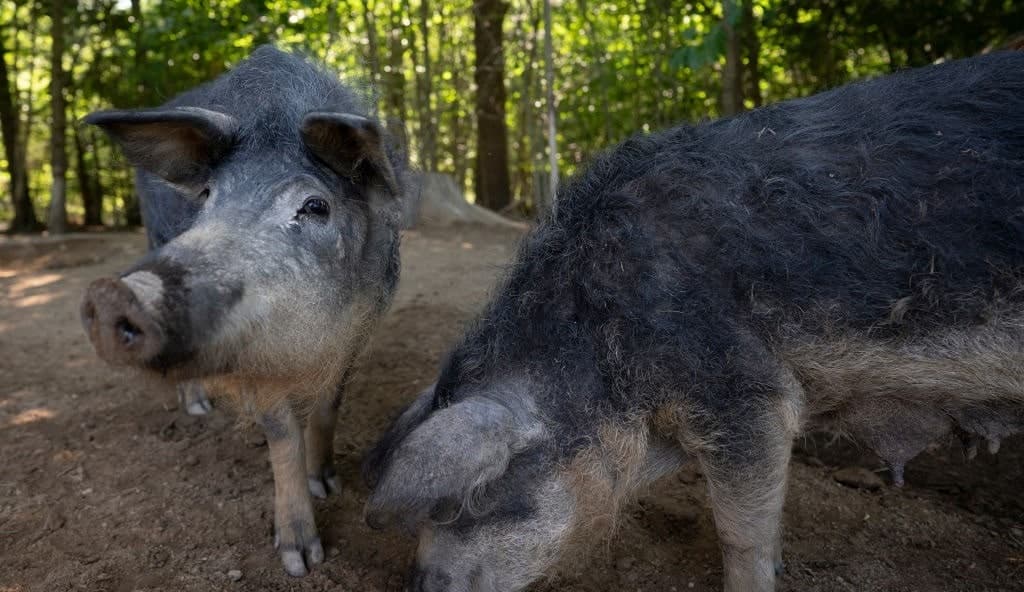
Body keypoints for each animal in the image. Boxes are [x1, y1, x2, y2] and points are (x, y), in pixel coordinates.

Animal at [80, 45, 409, 576]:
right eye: (208, 196)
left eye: (315, 206)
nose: (114, 293)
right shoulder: (257, 351)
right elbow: (282, 434)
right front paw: (300, 560)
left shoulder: (360, 325)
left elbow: (329, 405)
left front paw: (328, 484)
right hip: (152, 231)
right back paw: (198, 409)